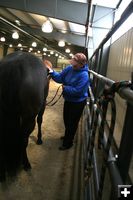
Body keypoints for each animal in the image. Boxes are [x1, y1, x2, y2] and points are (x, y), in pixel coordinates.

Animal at [0, 51, 48, 181]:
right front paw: (39, 139)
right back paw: (26, 163)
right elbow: (39, 120)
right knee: (23, 139)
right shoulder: (41, 106)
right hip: (29, 118)